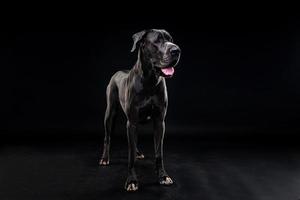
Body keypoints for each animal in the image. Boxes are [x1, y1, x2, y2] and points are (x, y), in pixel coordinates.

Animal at [99, 28, 182, 191]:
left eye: (171, 39)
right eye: (157, 40)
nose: (176, 50)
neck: (150, 80)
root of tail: (118, 72)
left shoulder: (159, 122)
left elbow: (159, 153)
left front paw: (163, 176)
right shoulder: (132, 122)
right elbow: (130, 156)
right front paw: (131, 180)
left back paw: (138, 152)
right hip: (110, 113)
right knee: (108, 137)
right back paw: (105, 158)